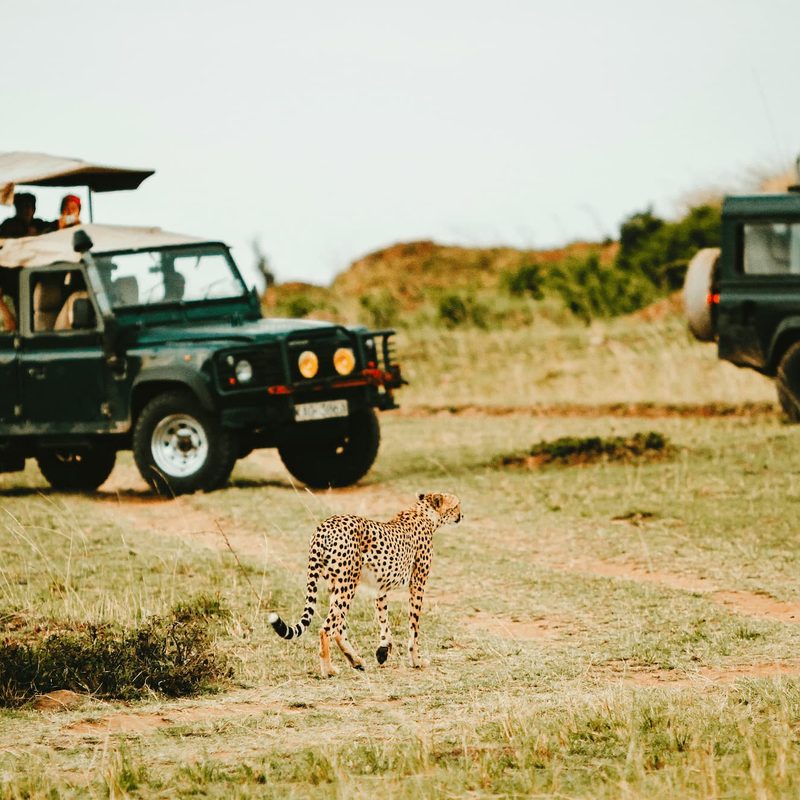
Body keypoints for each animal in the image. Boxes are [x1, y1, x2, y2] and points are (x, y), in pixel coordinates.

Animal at [269, 492, 462, 677]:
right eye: (456, 505)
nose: (462, 515)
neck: (424, 513)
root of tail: (324, 526)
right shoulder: (418, 583)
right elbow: (414, 626)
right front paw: (417, 660)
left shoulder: (380, 588)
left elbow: (383, 619)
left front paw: (383, 650)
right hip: (347, 583)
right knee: (327, 628)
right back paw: (328, 670)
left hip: (336, 584)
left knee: (338, 626)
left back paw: (355, 661)